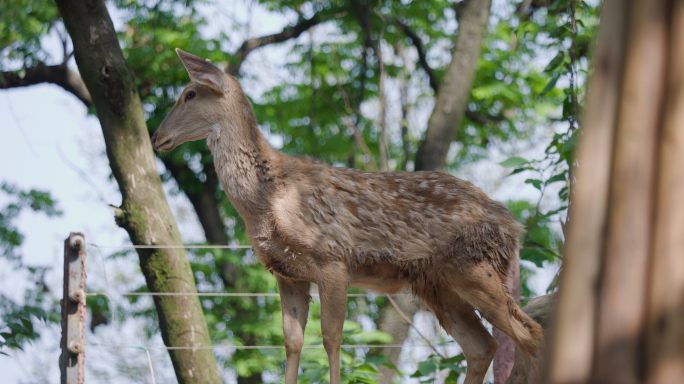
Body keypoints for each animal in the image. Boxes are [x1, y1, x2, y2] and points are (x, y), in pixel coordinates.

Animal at [152, 48, 544, 384]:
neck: (268, 200)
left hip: (474, 267)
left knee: (530, 333)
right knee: (483, 346)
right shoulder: (287, 272)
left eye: (189, 94)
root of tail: (513, 225)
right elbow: (292, 342)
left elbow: (331, 337)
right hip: (438, 283)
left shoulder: (332, 257)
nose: (156, 137)